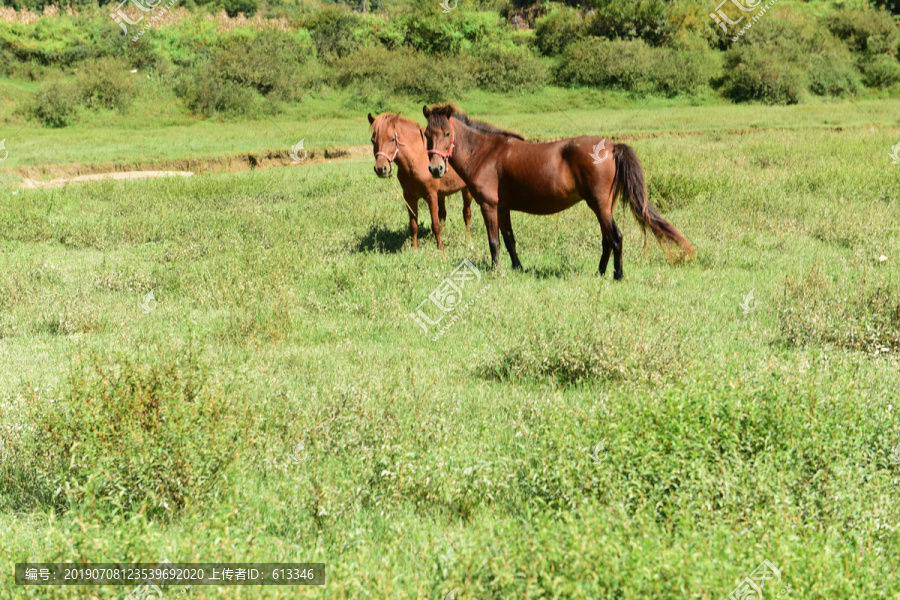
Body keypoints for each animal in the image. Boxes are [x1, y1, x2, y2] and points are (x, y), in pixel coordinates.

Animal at [368, 112, 475, 251]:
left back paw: (469, 240)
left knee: (466, 214)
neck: (417, 157)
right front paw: (415, 250)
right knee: (443, 214)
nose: (381, 169)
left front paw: (441, 251)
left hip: (466, 190)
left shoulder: (431, 196)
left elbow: (435, 226)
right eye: (372, 140)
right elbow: (413, 225)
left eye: (392, 139)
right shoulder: (409, 197)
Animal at [421, 104, 695, 279]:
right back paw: (599, 272)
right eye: (426, 135)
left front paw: (497, 272)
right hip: (604, 207)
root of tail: (612, 146)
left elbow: (494, 242)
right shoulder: (503, 207)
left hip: (600, 206)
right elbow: (509, 240)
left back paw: (617, 275)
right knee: (607, 239)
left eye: (447, 133)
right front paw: (518, 269)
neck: (485, 153)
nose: (435, 168)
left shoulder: (489, 205)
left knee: (615, 237)